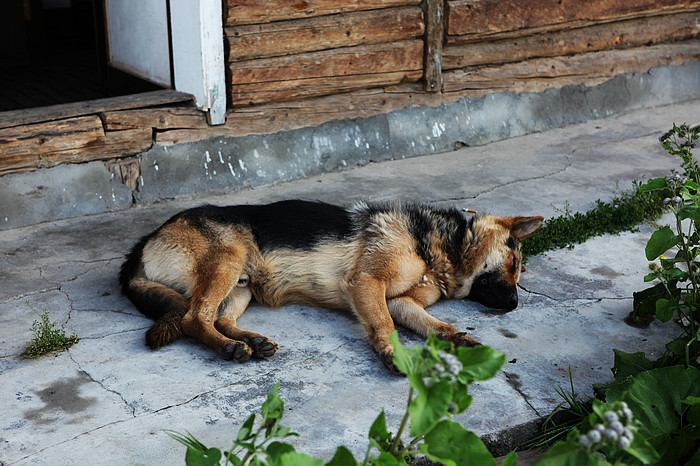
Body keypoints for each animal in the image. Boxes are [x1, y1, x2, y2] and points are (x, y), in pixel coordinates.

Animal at [120, 200, 544, 372]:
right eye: (514, 264)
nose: (514, 304)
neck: (443, 246)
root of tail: (143, 243)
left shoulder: (402, 302)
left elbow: (438, 327)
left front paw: (461, 340)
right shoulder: (368, 283)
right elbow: (383, 324)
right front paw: (392, 353)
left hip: (242, 286)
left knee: (217, 318)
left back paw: (250, 340)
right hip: (228, 259)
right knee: (193, 317)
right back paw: (229, 348)